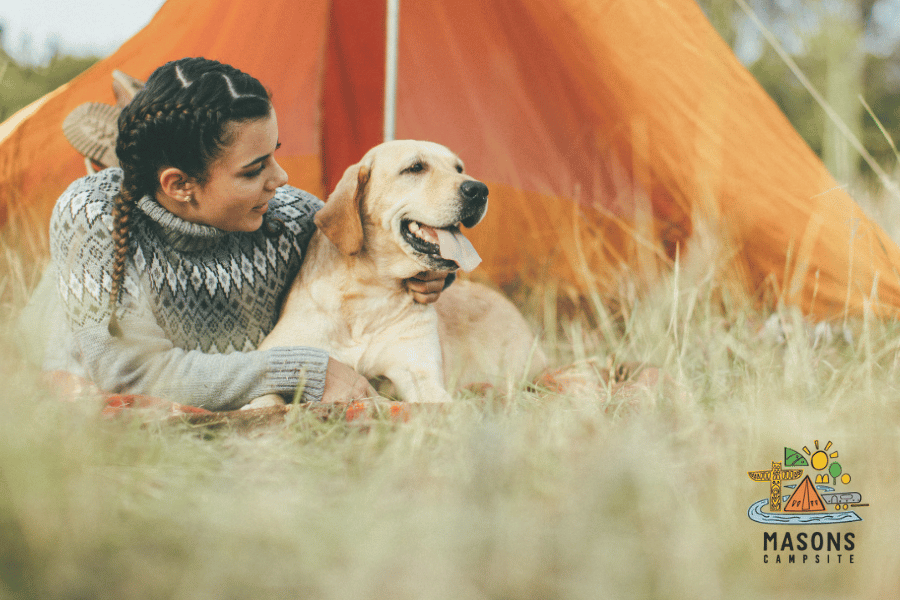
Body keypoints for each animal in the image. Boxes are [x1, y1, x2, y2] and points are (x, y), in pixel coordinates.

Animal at [253, 139, 548, 404]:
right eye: (415, 167)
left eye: (459, 168)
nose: (479, 189)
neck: (371, 291)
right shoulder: (278, 360)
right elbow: (265, 403)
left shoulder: (420, 373)